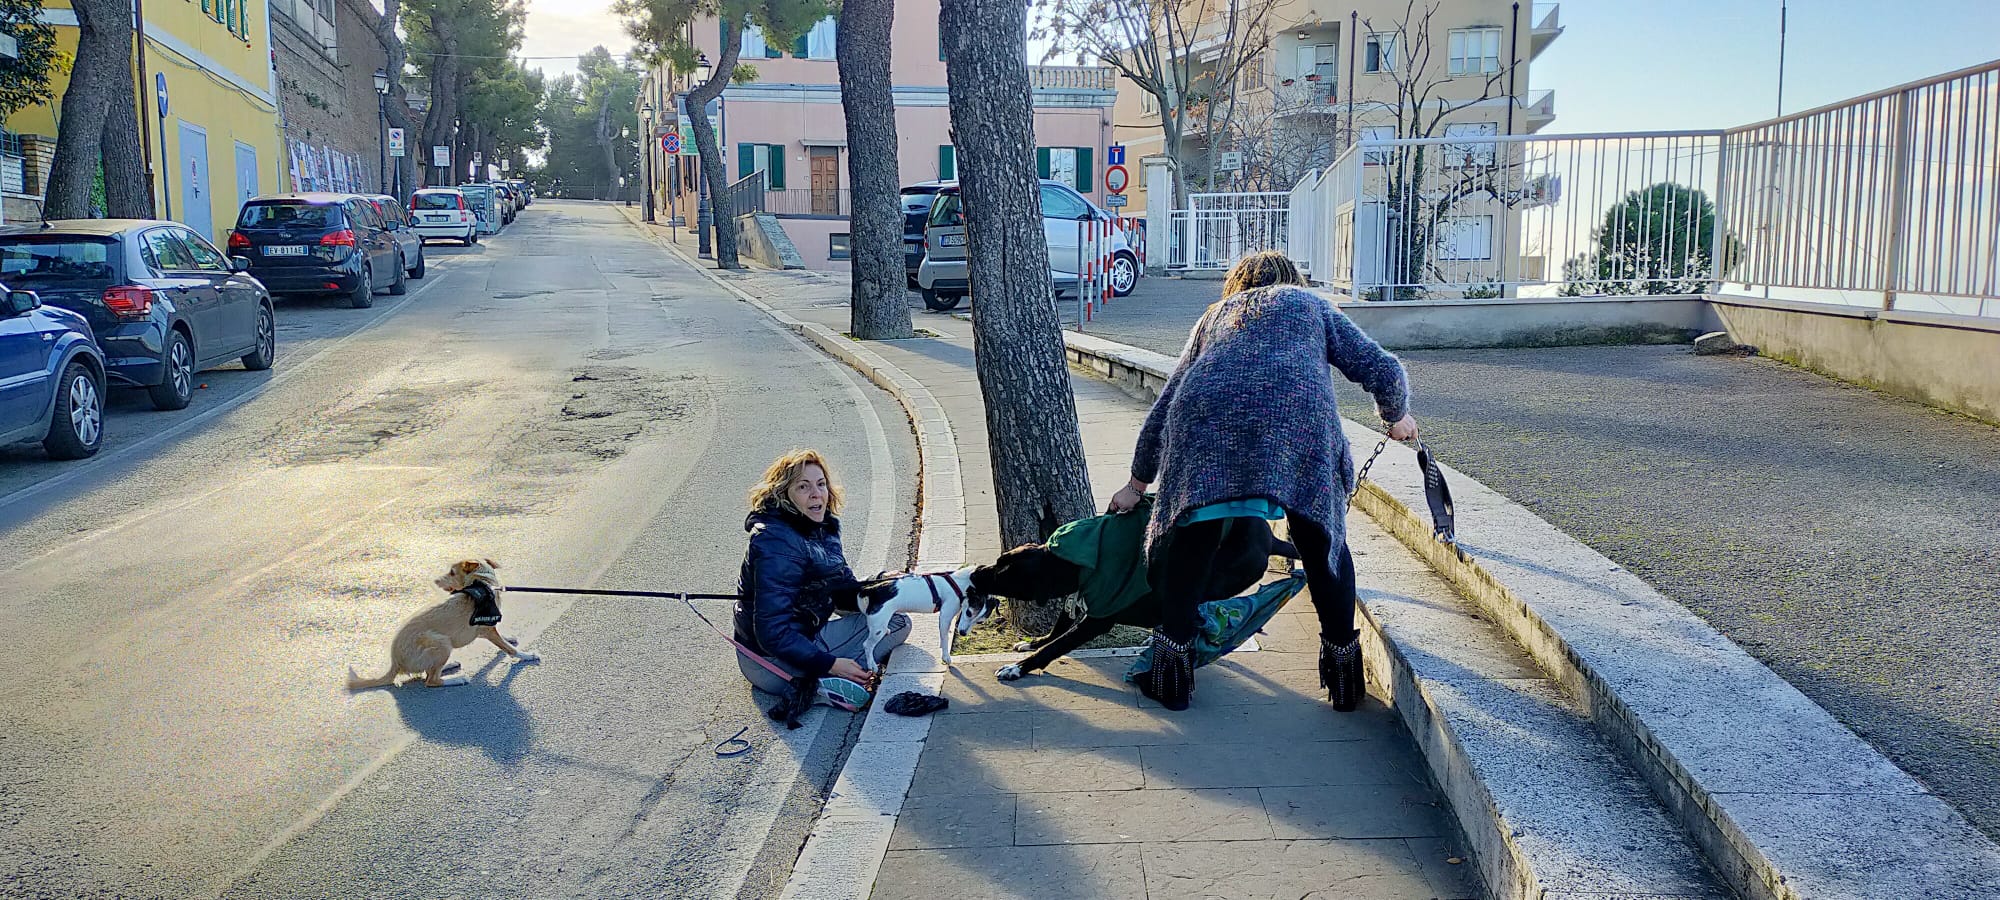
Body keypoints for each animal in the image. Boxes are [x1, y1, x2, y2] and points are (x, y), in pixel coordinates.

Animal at [348, 556, 540, 688]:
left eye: (452, 572)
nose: (435, 581)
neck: (482, 582)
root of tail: (395, 663)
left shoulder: (487, 630)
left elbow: (504, 642)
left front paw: (510, 639)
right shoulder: (487, 630)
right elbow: (510, 650)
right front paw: (527, 655)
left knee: (428, 672)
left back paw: (450, 665)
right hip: (441, 642)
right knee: (431, 681)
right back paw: (457, 678)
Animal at [968, 524, 1296, 680]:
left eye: (1003, 571)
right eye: (999, 560)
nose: (976, 571)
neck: (1073, 564)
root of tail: (1270, 539)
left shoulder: (1097, 620)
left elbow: (1056, 646)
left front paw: (1018, 668)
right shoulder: (1077, 598)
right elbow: (1057, 630)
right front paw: (1034, 642)